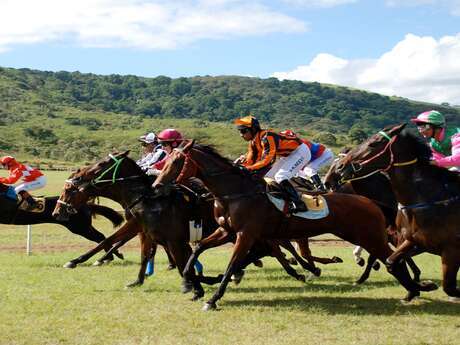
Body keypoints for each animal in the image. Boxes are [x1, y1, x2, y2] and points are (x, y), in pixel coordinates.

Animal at [152, 141, 438, 310]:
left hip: (369, 236)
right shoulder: (227, 231)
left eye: (176, 162)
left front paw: (212, 298)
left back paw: (416, 288)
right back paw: (415, 289)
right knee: (392, 259)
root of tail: (370, 201)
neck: (235, 193)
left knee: (392, 259)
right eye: (166, 160)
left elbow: (233, 264)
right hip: (365, 236)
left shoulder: (246, 234)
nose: (156, 186)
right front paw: (192, 283)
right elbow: (198, 249)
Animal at [336, 123, 458, 300]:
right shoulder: (409, 240)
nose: (340, 167)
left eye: (374, 143)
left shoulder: (449, 250)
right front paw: (419, 287)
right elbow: (391, 262)